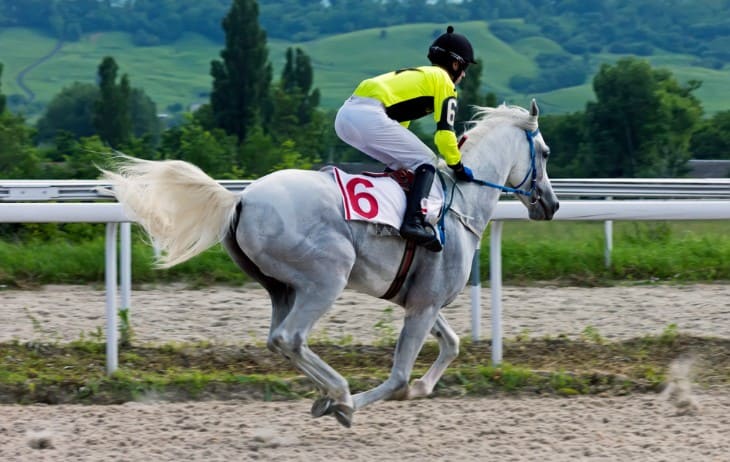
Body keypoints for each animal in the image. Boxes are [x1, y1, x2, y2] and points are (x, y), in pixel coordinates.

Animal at [101, 99, 556, 428]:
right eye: (546, 152)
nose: (550, 205)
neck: (460, 202)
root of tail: (241, 198)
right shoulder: (424, 305)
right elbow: (399, 377)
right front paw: (351, 406)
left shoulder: (420, 301)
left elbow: (452, 344)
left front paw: (418, 390)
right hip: (326, 278)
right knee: (291, 337)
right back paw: (338, 393)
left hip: (282, 288)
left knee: (278, 338)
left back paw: (328, 392)